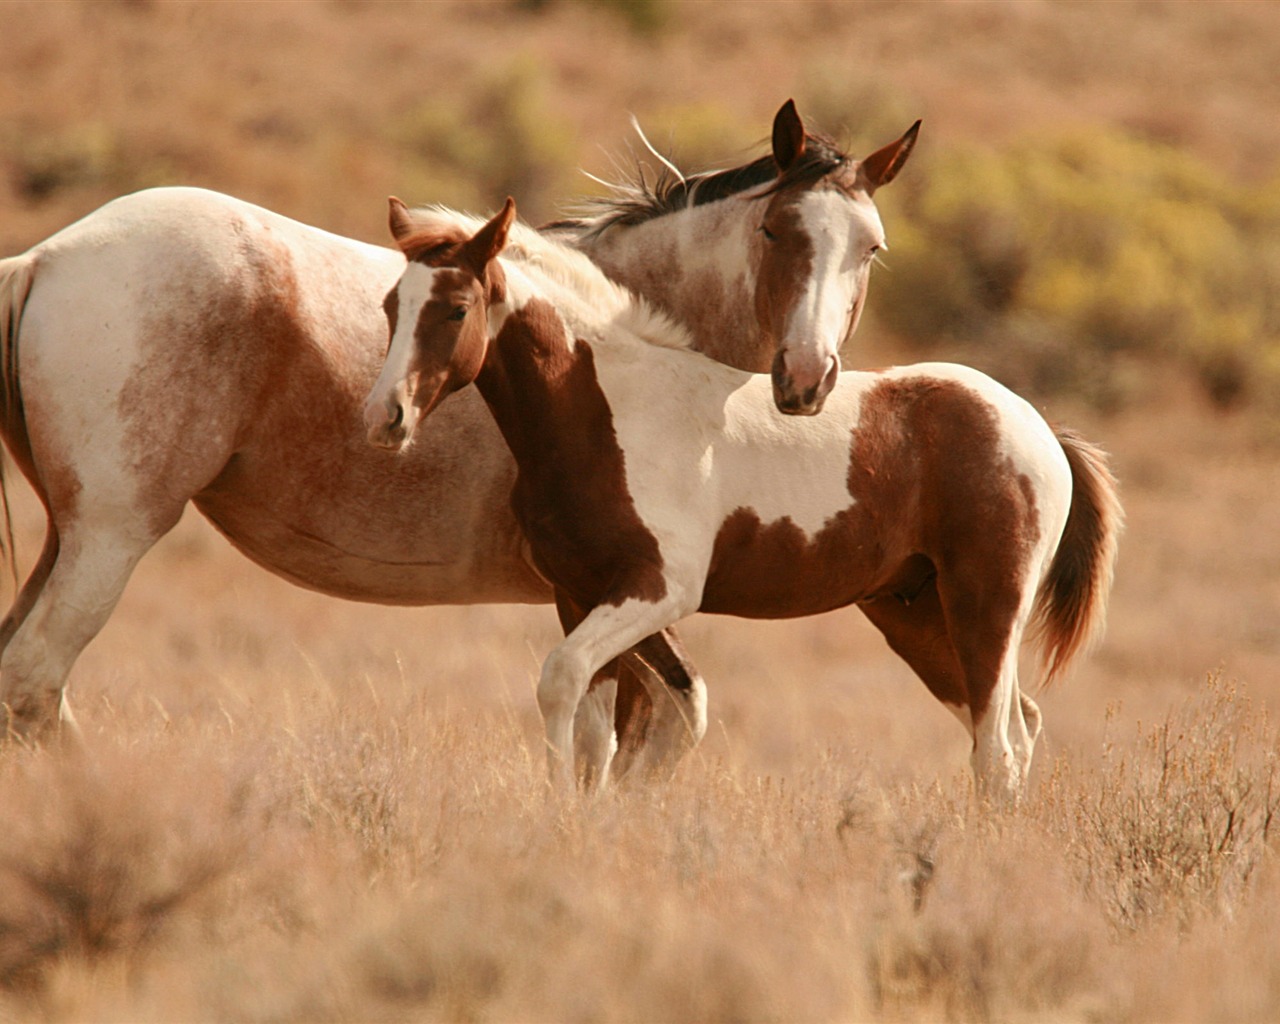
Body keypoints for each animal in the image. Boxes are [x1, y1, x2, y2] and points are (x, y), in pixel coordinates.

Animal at [0, 103, 921, 757]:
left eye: (871, 248)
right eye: (775, 230)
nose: (806, 378)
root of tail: (46, 257)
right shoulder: (616, 594)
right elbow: (643, 729)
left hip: (69, 537)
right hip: (111, 538)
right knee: (36, 682)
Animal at [363, 203, 1121, 803]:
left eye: (457, 309)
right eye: (391, 306)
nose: (384, 417)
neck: (605, 410)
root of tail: (1036, 425)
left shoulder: (659, 589)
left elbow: (560, 680)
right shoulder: (579, 593)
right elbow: (594, 730)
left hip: (985, 605)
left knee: (998, 749)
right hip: (917, 616)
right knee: (1017, 729)